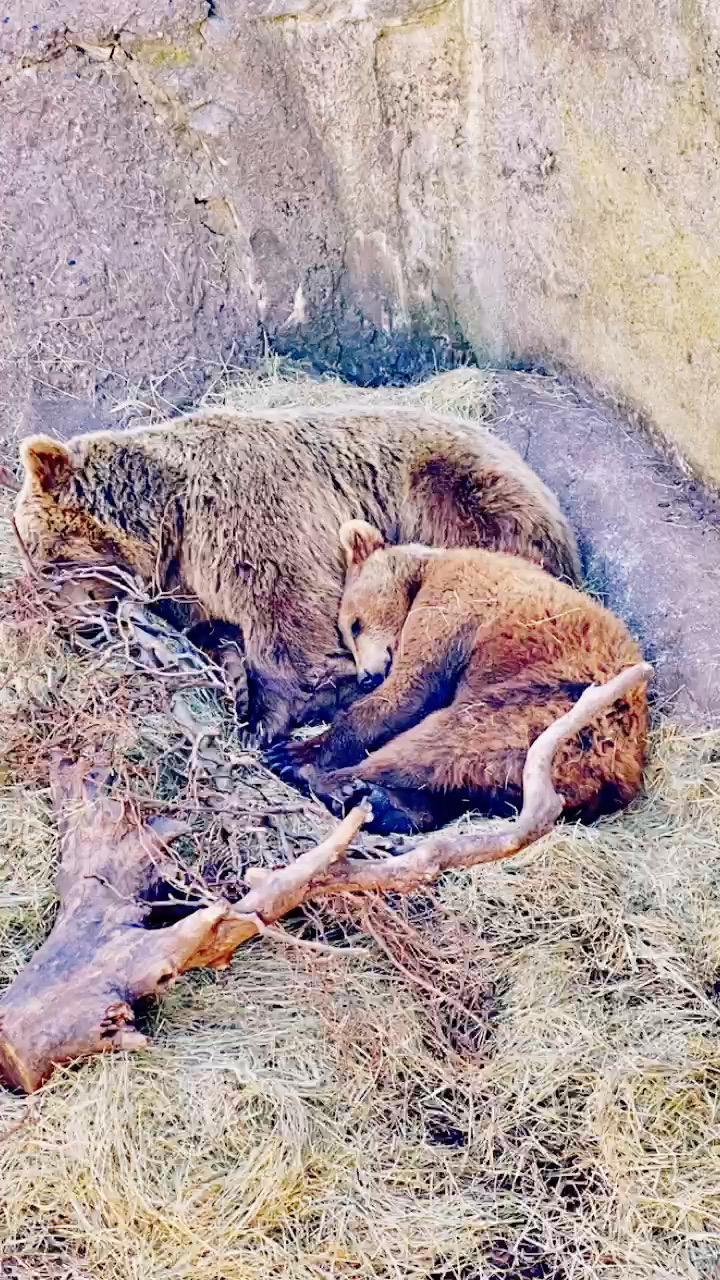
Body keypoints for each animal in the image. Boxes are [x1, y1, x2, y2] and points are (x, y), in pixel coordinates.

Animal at [15, 399, 576, 742]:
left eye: (47, 558)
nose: (74, 627)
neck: (171, 518)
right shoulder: (189, 582)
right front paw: (237, 681)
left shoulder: (251, 516)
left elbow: (287, 614)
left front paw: (279, 709)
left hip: (457, 496)